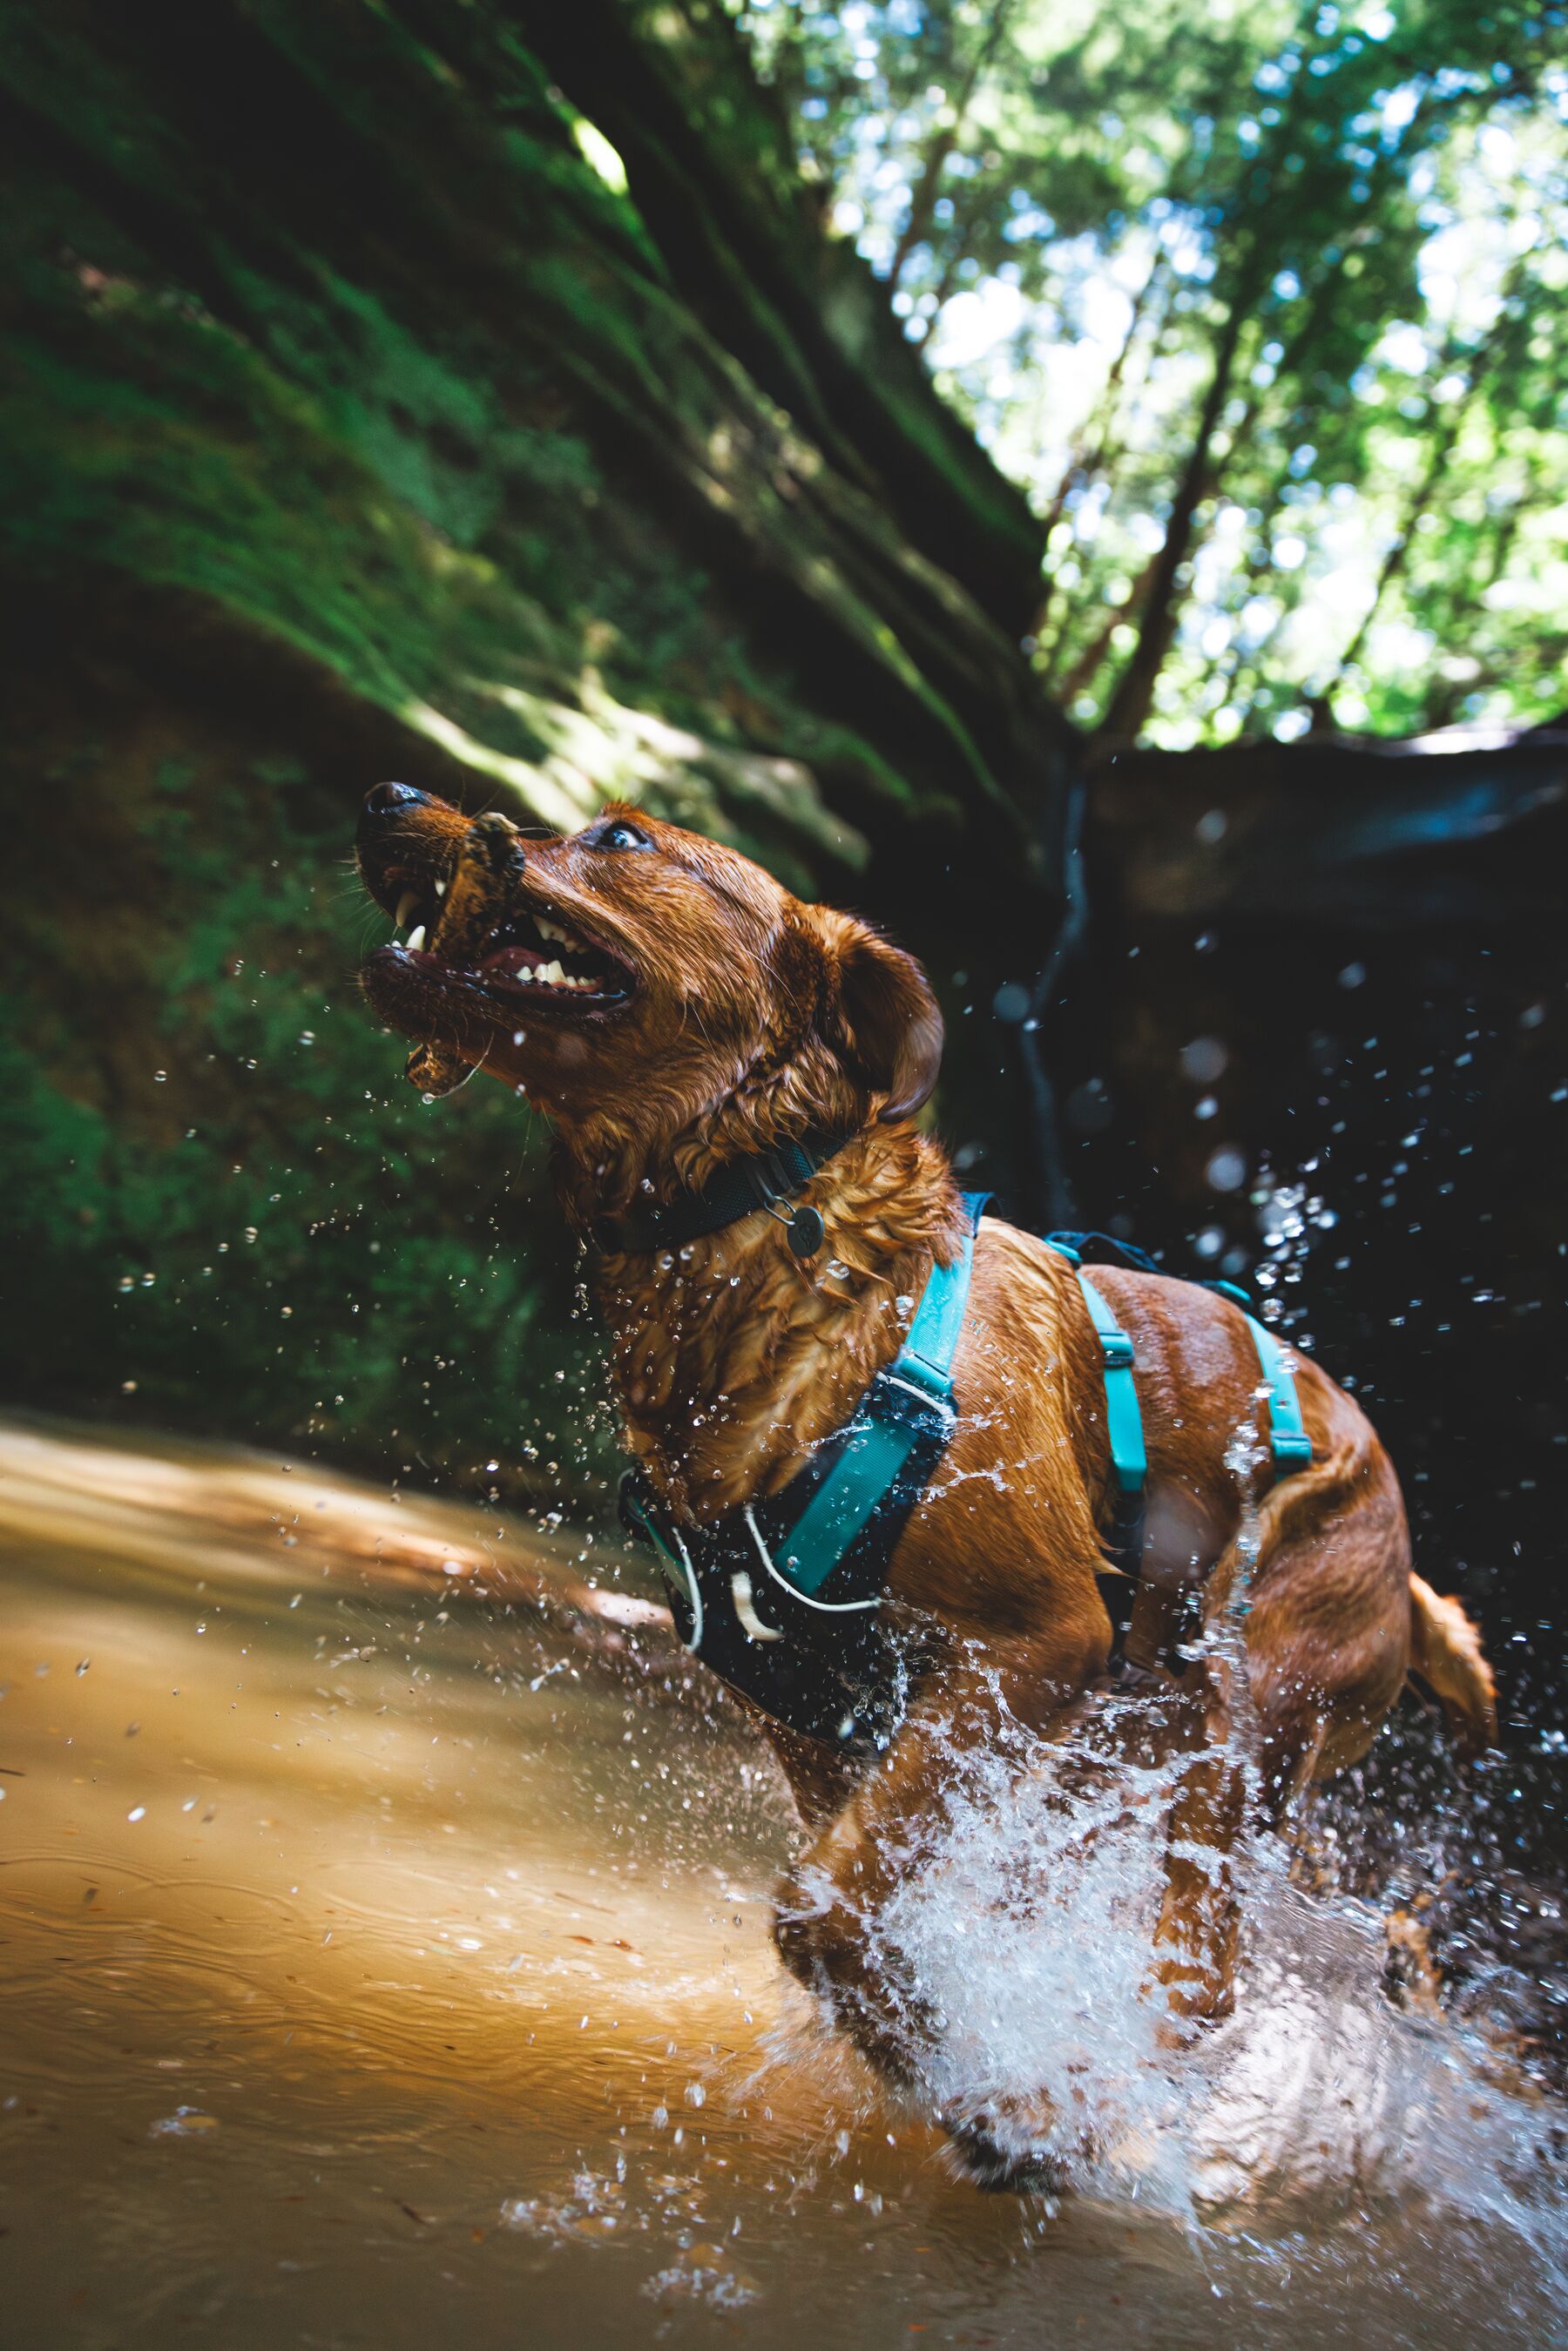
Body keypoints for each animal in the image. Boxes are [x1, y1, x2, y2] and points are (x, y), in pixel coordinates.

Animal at [355, 785, 1495, 2181]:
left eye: (621, 838)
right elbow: (875, 1889)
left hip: (1243, 1714)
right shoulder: (826, 1719)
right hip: (1142, 1750)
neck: (772, 1246)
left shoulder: (1034, 1644)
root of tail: (1411, 1567)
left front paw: (965, 2075)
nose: (387, 798)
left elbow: (821, 1912)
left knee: (1200, 1975)